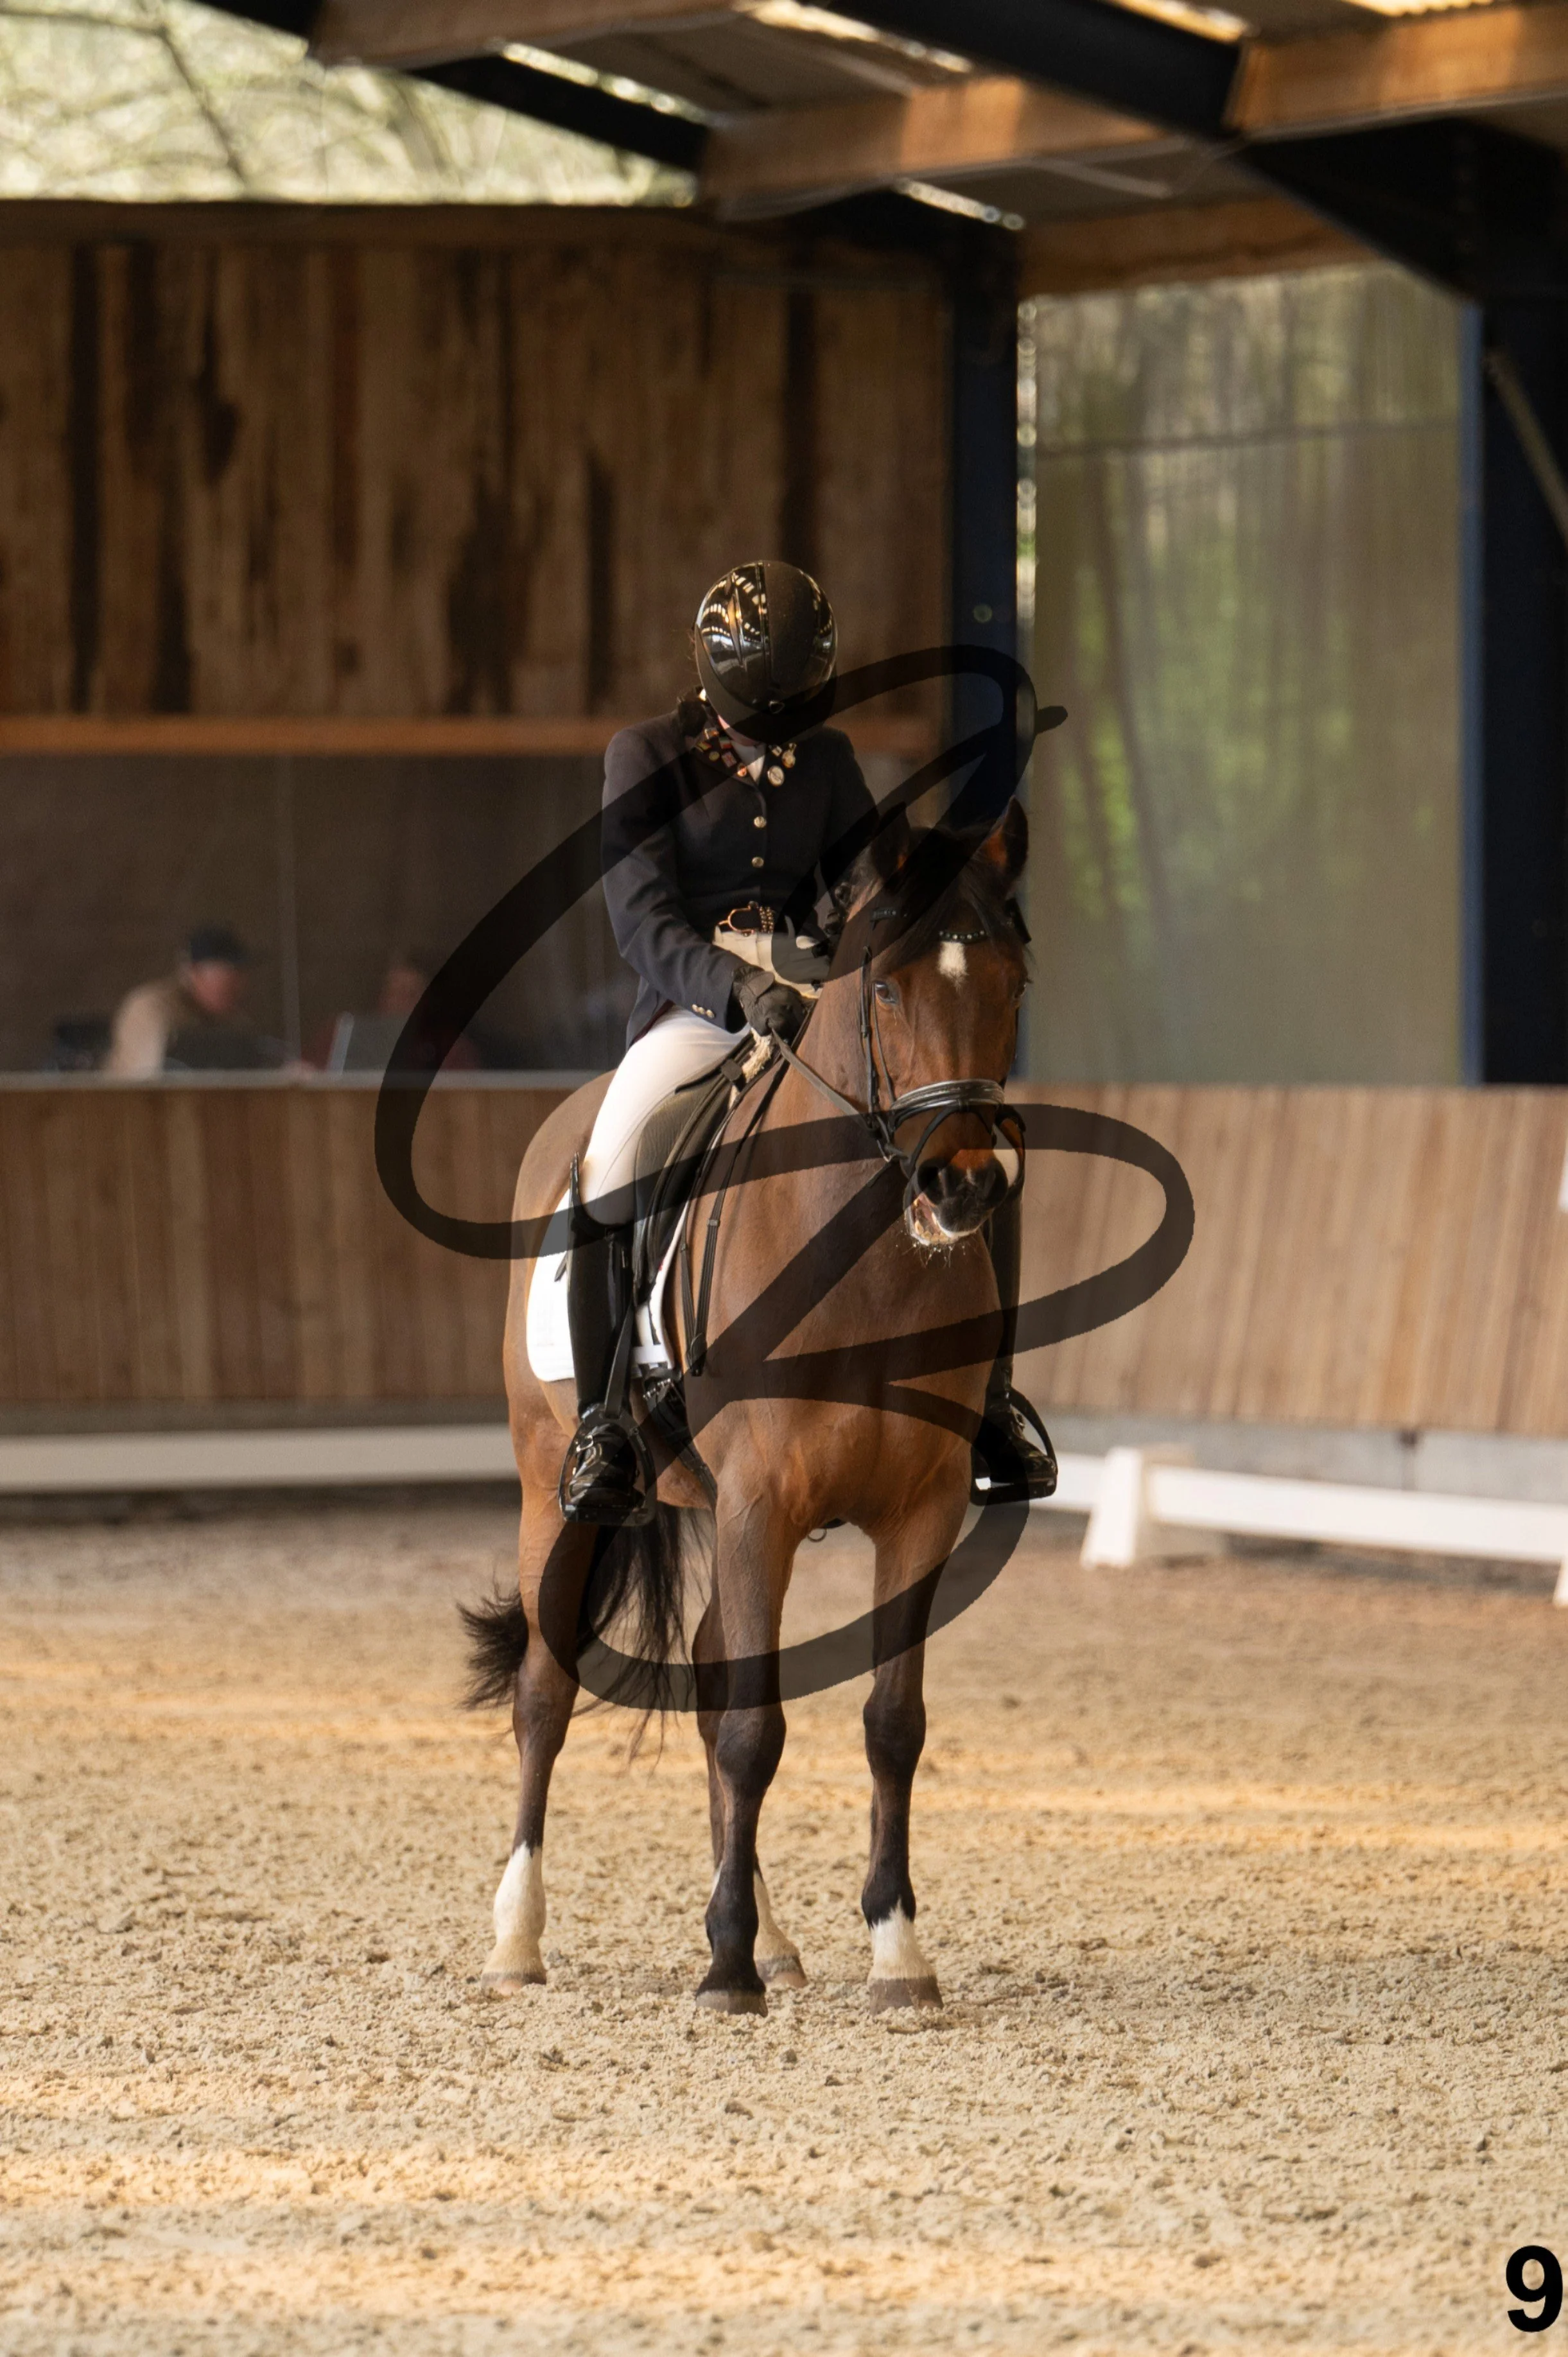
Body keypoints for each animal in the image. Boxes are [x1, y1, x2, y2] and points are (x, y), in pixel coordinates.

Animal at [464, 796, 1031, 2015]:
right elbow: (751, 1730)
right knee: (544, 1689)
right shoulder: (761, 1502)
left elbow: (888, 1724)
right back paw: (519, 1938)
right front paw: (722, 1966)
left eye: (1013, 981)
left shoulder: (917, 1510)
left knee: (715, 1668)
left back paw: (770, 1934)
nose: (961, 1185)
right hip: (553, 1489)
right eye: (885, 989)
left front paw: (895, 1952)